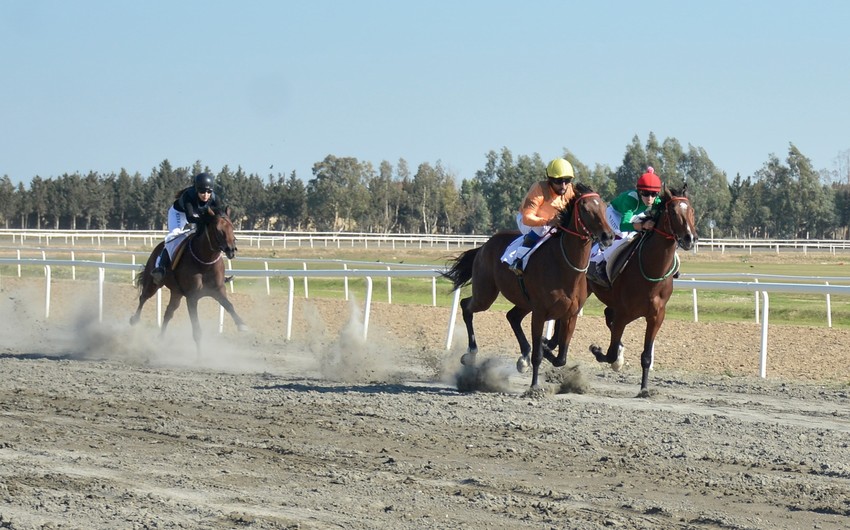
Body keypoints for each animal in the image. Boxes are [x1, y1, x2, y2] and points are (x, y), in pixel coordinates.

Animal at [129, 205, 247, 350]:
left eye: (232, 227)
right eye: (218, 229)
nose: (231, 249)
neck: (205, 261)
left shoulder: (218, 291)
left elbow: (229, 305)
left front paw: (241, 324)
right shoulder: (192, 297)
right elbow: (197, 330)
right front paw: (199, 354)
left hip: (177, 292)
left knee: (169, 312)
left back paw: (160, 338)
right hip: (153, 283)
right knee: (143, 297)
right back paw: (135, 320)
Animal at [440, 183, 612, 388]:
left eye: (603, 206)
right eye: (585, 209)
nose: (608, 235)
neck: (564, 266)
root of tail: (483, 246)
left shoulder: (570, 315)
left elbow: (560, 358)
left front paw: (545, 349)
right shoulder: (540, 313)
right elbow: (539, 354)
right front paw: (534, 385)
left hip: (523, 301)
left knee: (512, 316)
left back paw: (523, 358)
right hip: (486, 294)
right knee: (467, 306)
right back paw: (471, 354)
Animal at [584, 184, 696, 394]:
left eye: (691, 210)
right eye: (673, 212)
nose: (690, 238)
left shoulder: (656, 316)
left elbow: (646, 356)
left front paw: (644, 389)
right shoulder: (624, 313)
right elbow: (610, 353)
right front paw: (600, 351)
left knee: (608, 315)